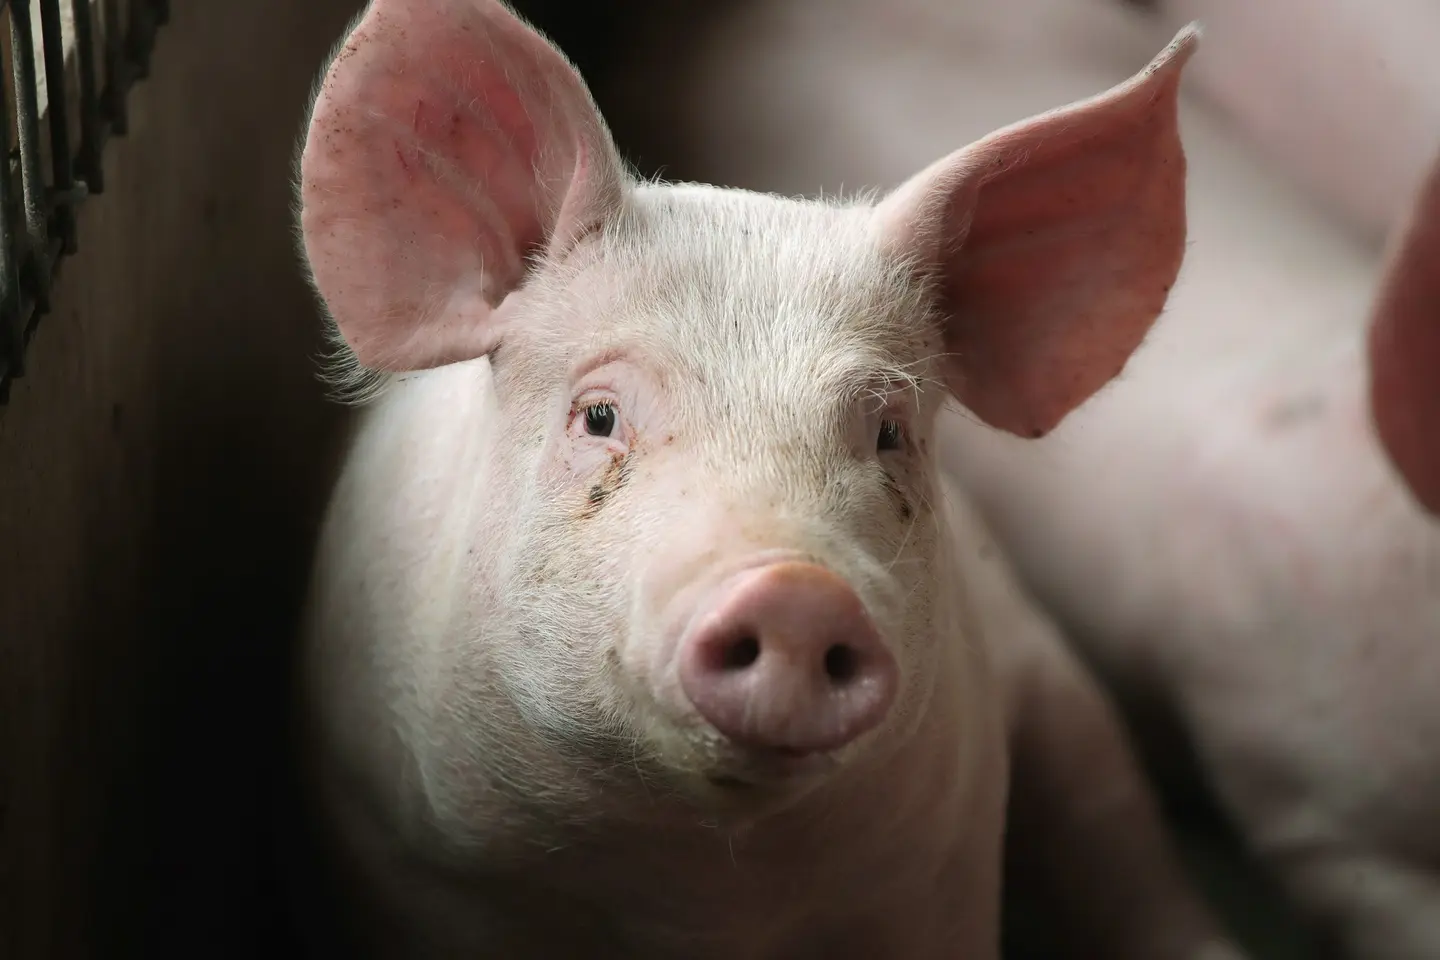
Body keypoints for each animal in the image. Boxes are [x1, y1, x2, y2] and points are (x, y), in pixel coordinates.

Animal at [292, 1, 1245, 957]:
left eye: (889, 434)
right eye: (598, 416)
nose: (798, 593)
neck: (710, 896)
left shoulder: (943, 873)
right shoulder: (410, 857)